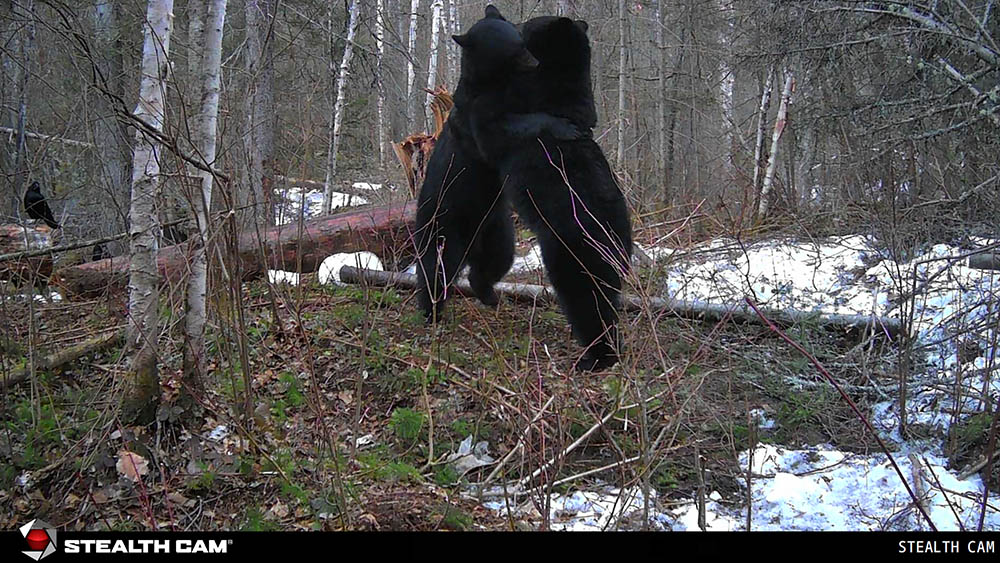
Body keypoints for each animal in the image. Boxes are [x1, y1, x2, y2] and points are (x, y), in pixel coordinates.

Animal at [414, 6, 582, 323]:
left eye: (522, 40)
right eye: (513, 51)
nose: (535, 63)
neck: (495, 82)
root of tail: (470, 246)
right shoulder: (477, 117)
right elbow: (501, 132)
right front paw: (564, 126)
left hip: (497, 229)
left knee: (496, 261)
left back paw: (488, 294)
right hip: (443, 228)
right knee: (436, 270)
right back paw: (432, 311)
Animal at [461, 13, 634, 371]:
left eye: (529, 23)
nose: (516, 23)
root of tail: (621, 247)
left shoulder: (522, 97)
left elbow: (490, 124)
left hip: (573, 253)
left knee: (587, 302)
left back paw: (596, 358)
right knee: (607, 301)